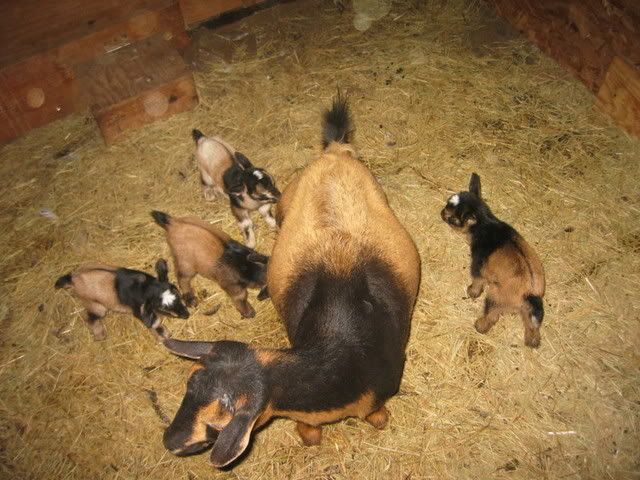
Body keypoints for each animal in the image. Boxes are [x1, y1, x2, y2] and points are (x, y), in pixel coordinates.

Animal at [54, 259, 189, 341]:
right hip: (96, 306)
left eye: (177, 294)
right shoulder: (139, 311)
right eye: (163, 308)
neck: (144, 288)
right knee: (89, 317)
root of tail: (72, 279)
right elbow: (154, 323)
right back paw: (100, 335)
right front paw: (164, 335)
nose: (186, 315)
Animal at [161, 94, 421, 468]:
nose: (169, 441)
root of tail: (334, 152)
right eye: (188, 385)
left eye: (216, 422)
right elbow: (309, 433)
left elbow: (377, 416)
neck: (343, 350)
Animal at [441, 173, 546, 347]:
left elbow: (477, 279)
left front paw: (472, 292)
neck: (485, 224)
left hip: (497, 297)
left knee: (492, 315)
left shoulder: (479, 263)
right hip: (527, 309)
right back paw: (532, 342)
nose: (442, 213)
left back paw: (479, 326)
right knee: (532, 323)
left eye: (453, 218)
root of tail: (530, 294)